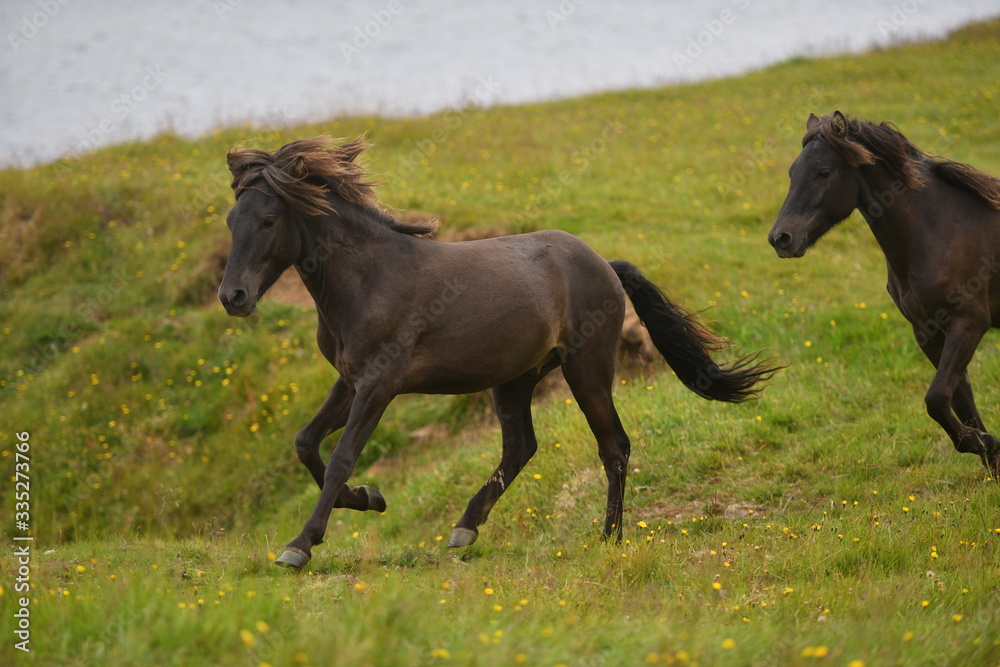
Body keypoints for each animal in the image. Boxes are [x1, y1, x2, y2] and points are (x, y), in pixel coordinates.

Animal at [223, 137, 776, 568]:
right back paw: (465, 527)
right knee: (521, 447)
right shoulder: (350, 378)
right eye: (230, 220)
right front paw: (369, 499)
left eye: (268, 219)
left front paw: (300, 545)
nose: (233, 297)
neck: (370, 278)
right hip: (515, 378)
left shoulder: (379, 384)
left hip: (587, 367)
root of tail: (603, 263)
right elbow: (305, 443)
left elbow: (339, 457)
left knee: (613, 446)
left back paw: (608, 539)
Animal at [768, 111, 1000, 474]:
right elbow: (959, 400)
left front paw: (980, 443)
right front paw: (988, 453)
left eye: (823, 172)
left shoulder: (969, 322)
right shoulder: (928, 331)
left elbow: (936, 398)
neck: (939, 231)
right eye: (792, 172)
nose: (781, 238)